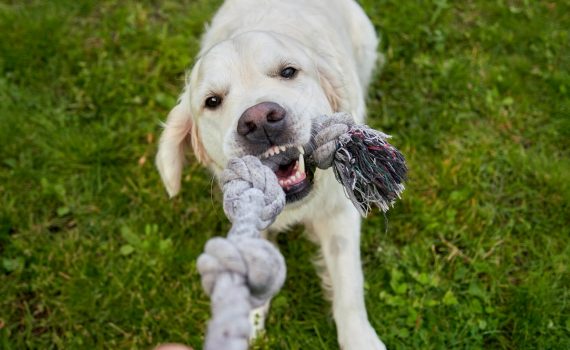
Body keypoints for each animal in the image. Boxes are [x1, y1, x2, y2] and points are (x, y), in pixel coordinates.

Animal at [155, 1, 386, 348]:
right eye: (212, 101)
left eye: (288, 71)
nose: (260, 120)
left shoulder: (338, 210)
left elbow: (348, 279)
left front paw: (360, 338)